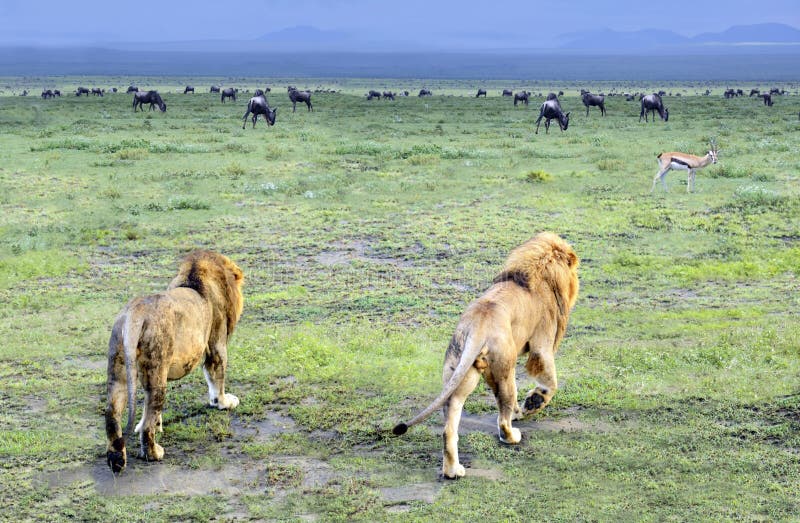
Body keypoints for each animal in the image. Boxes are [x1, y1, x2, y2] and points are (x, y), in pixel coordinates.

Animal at [106, 250, 244, 474]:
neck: (194, 277)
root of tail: (136, 312)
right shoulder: (216, 344)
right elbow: (217, 377)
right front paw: (224, 403)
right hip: (157, 368)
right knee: (148, 424)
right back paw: (154, 453)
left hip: (118, 369)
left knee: (112, 415)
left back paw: (116, 459)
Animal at [392, 233, 576, 478]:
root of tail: (478, 323)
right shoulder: (542, 343)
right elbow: (550, 381)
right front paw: (533, 403)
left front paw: (523, 408)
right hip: (503, 369)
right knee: (503, 419)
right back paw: (512, 437)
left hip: (461, 370)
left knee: (449, 423)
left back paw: (453, 471)